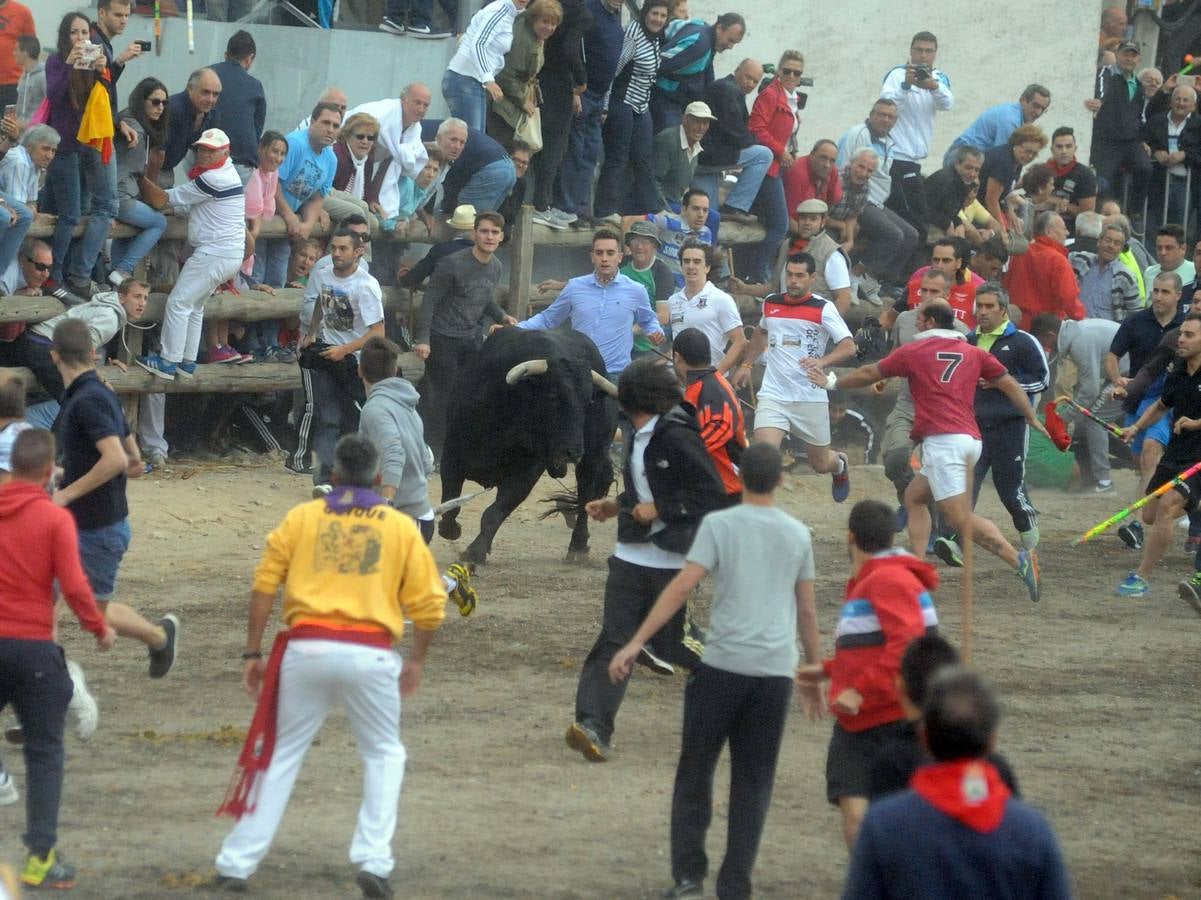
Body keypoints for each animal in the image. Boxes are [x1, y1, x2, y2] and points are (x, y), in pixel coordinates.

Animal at [434, 326, 619, 557]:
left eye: (588, 402)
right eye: (552, 396)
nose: (573, 451)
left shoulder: (527, 472)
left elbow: (494, 513)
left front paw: (476, 552)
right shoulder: (452, 455)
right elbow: (451, 503)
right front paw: (451, 530)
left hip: (594, 455)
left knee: (586, 494)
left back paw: (577, 547)